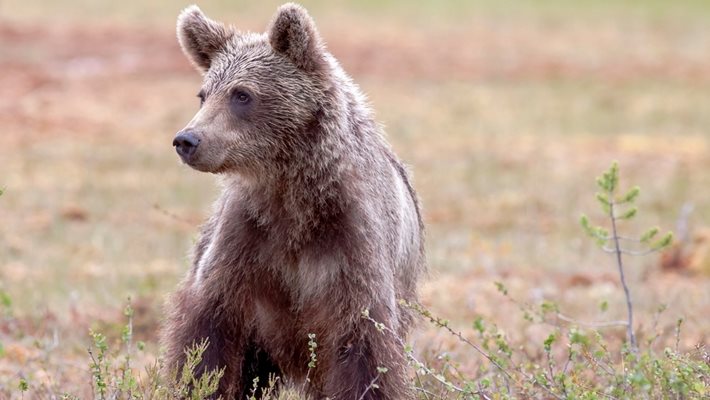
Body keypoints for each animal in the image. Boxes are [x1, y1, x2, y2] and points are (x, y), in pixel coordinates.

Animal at [163, 3, 426, 400]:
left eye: (242, 94)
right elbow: (206, 338)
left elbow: (365, 349)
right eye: (204, 94)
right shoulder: (245, 242)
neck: (293, 198)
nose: (187, 140)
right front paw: (200, 384)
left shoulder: (352, 245)